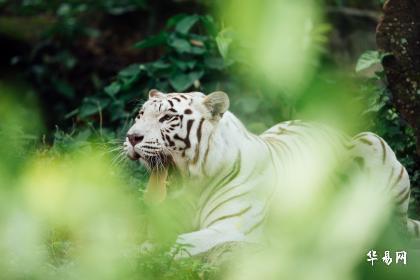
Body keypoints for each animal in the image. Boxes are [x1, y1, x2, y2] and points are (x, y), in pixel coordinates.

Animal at [123, 90, 418, 258]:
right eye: (140, 115)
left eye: (167, 118)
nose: (132, 137)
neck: (193, 187)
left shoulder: (232, 229)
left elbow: (180, 244)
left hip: (371, 142)